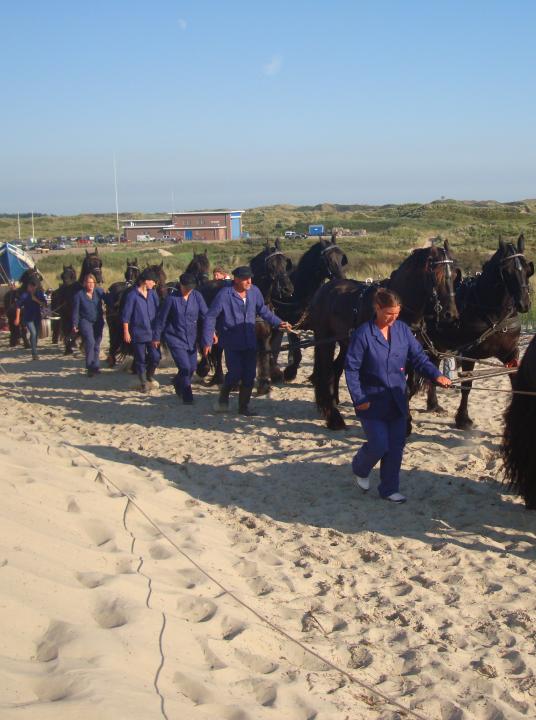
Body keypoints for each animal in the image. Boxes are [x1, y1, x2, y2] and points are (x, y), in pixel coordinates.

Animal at [308, 242, 458, 434]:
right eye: (437, 275)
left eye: (455, 275)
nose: (451, 315)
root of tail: (324, 289)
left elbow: (409, 387)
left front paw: (405, 420)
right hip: (325, 340)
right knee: (325, 372)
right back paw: (334, 417)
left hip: (346, 343)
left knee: (335, 369)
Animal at [422, 235, 532, 428]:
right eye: (507, 271)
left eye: (527, 269)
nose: (524, 304)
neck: (493, 315)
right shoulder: (469, 354)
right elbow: (467, 385)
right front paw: (463, 418)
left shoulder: (510, 353)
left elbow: (515, 380)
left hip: (437, 345)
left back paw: (433, 404)